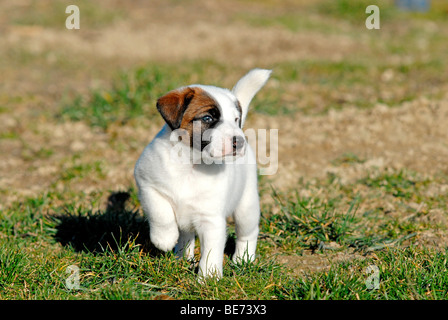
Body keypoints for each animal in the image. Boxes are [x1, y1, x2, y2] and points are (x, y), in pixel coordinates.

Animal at [135, 69, 272, 278]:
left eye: (236, 120)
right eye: (208, 118)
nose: (239, 141)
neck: (190, 164)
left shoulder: (211, 220)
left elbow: (211, 253)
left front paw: (209, 278)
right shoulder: (147, 184)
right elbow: (160, 211)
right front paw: (164, 238)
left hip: (246, 207)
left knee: (248, 233)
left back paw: (243, 258)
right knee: (186, 237)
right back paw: (182, 258)